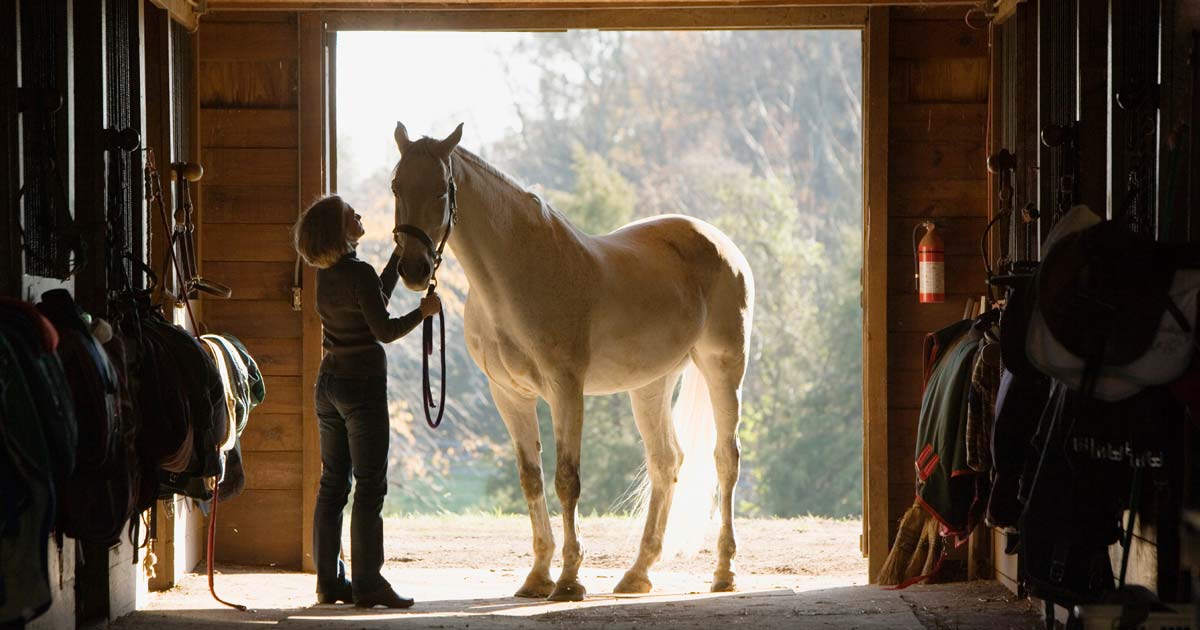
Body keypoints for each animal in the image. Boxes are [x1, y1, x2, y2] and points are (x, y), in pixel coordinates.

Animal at [389, 122, 754, 601]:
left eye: (439, 192)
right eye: (396, 186)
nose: (413, 270)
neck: (517, 276)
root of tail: (722, 244)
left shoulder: (566, 390)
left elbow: (567, 479)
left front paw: (568, 580)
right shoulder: (509, 395)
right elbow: (530, 478)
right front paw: (537, 576)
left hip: (723, 367)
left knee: (725, 459)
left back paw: (724, 571)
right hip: (651, 383)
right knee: (665, 462)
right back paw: (637, 574)